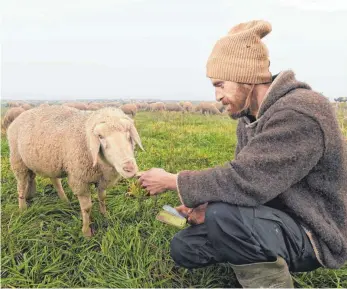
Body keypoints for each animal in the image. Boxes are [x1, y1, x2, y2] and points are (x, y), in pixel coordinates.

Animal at [7, 106, 145, 236]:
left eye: (128, 134)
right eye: (100, 136)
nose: (129, 168)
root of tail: (19, 117)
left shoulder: (102, 179)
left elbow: (102, 197)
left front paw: (105, 215)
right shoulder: (80, 179)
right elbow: (87, 208)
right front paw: (86, 232)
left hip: (47, 161)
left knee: (44, 179)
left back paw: (52, 198)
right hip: (18, 160)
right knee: (21, 184)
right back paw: (23, 207)